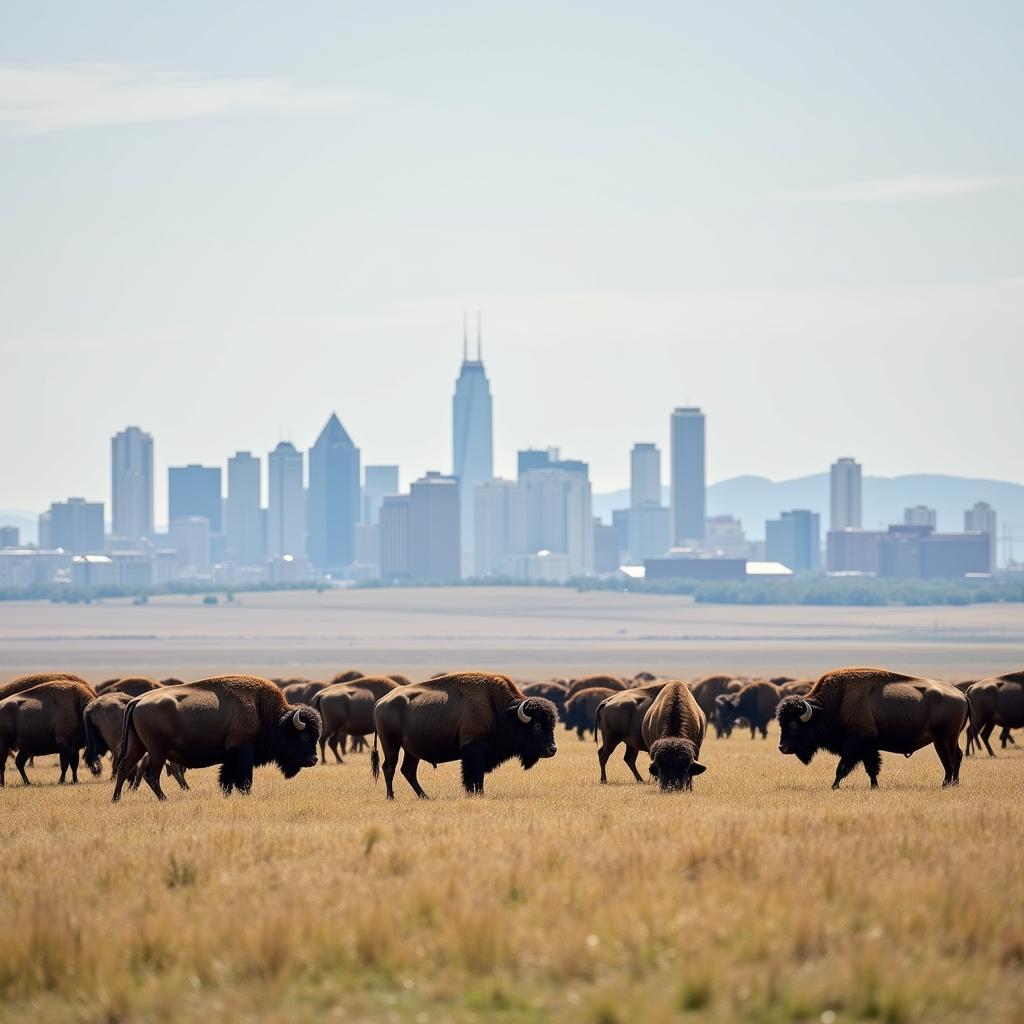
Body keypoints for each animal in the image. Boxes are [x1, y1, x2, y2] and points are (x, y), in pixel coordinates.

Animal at [111, 675, 321, 802]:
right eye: (304, 736)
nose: (314, 759)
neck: (263, 711)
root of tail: (138, 700)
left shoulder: (230, 758)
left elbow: (226, 779)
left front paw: (226, 795)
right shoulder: (244, 752)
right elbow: (244, 779)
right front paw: (245, 796)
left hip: (138, 747)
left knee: (124, 768)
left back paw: (116, 799)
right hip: (157, 751)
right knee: (151, 775)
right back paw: (164, 800)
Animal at [370, 671, 557, 798]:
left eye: (552, 725)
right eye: (538, 725)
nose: (553, 749)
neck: (502, 711)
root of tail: (380, 702)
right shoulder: (473, 750)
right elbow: (474, 776)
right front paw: (477, 794)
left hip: (411, 751)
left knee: (408, 771)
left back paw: (425, 797)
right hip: (391, 745)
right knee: (389, 767)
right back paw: (391, 797)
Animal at [778, 663, 970, 790]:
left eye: (794, 723)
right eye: (781, 723)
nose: (782, 747)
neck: (836, 703)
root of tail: (961, 694)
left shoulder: (856, 743)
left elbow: (842, 767)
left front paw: (834, 786)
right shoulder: (868, 747)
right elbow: (871, 768)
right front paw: (874, 786)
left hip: (945, 739)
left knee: (950, 760)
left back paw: (946, 784)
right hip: (945, 740)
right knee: (956, 758)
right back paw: (953, 784)